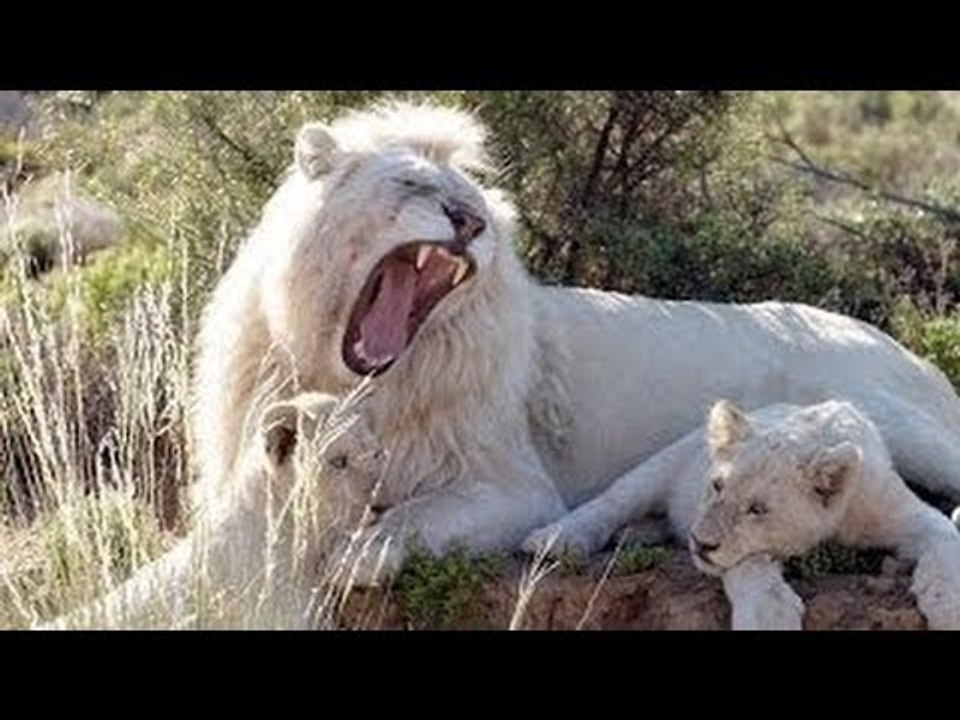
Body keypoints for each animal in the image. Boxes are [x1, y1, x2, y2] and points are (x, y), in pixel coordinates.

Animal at [190, 101, 960, 588]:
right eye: (411, 182)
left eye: (476, 200)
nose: (470, 222)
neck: (364, 382)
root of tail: (903, 346)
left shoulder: (519, 489)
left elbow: (414, 513)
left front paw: (360, 555)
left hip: (893, 421)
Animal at [524, 399, 960, 630]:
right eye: (717, 486)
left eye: (757, 509)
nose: (699, 543)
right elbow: (750, 565)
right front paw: (770, 615)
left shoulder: (900, 510)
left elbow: (946, 544)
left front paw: (948, 606)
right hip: (662, 464)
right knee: (612, 500)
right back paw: (555, 540)